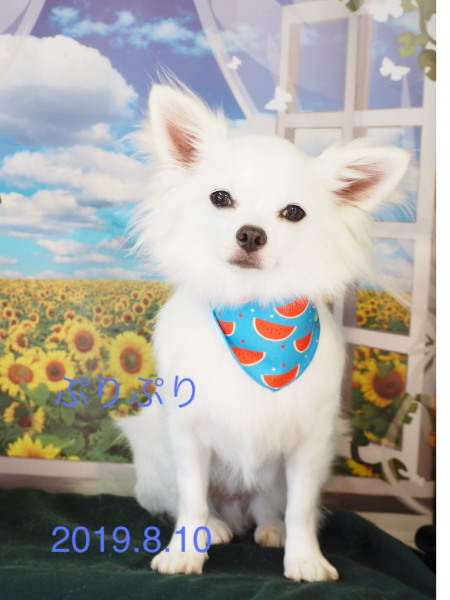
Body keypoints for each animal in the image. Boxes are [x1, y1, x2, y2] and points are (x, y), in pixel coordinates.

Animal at [119, 82, 409, 582]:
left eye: (293, 212)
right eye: (220, 198)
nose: (251, 234)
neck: (252, 310)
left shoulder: (310, 446)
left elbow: (301, 509)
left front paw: (305, 558)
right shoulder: (187, 438)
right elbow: (191, 499)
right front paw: (186, 550)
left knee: (273, 509)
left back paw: (271, 529)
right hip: (155, 459)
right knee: (188, 502)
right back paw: (216, 527)